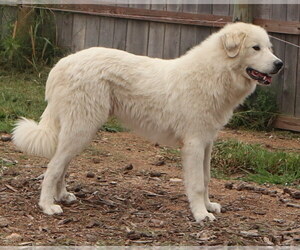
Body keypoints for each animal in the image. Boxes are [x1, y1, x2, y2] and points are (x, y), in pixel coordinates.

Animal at [12, 22, 282, 222]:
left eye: (269, 47)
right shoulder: (194, 144)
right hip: (82, 128)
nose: (280, 64)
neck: (214, 73)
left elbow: (205, 180)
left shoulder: (206, 142)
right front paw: (200, 215)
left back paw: (62, 196)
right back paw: (48, 206)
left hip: (79, 130)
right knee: (53, 167)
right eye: (256, 48)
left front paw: (207, 206)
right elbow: (196, 183)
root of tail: (63, 63)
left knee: (61, 164)